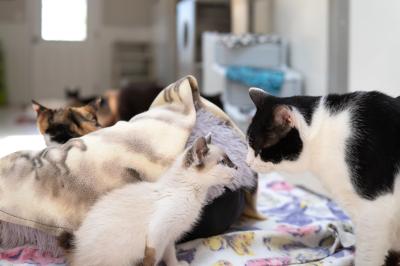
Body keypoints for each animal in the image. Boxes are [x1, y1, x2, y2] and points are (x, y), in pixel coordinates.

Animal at [59, 135, 238, 266]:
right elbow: (152, 258)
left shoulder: (168, 238)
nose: (237, 167)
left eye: (230, 161)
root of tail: (75, 253)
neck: (193, 194)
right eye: (224, 162)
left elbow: (170, 255)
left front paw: (177, 264)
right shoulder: (158, 233)